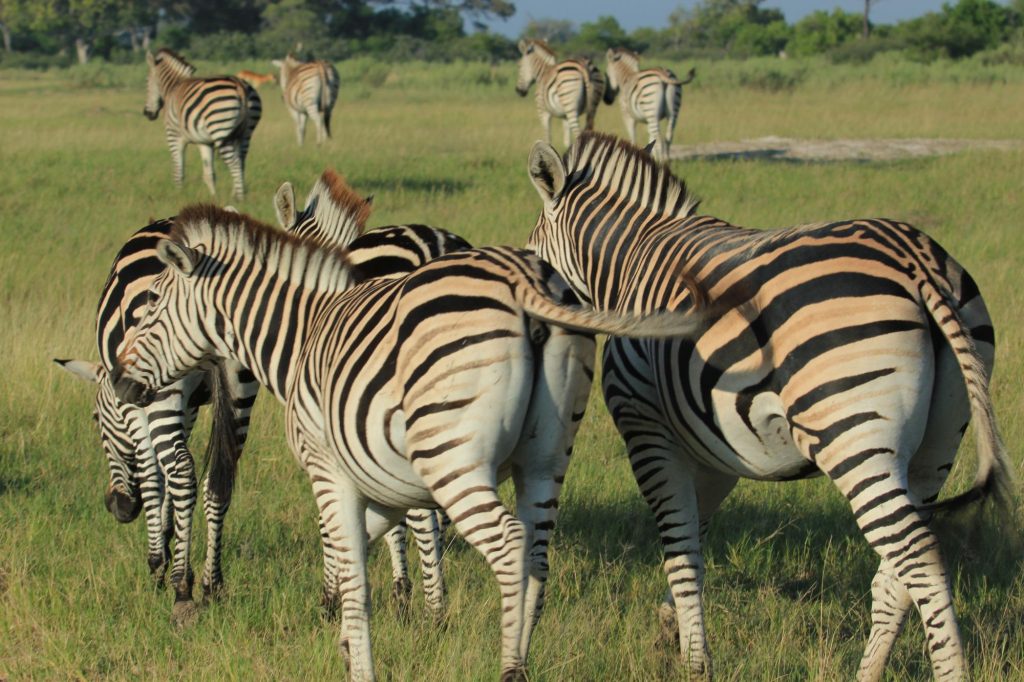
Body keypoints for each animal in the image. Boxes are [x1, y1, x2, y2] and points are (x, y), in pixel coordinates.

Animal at [55, 170, 470, 625]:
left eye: (96, 420)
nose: (118, 508)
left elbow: (153, 472)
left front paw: (158, 561)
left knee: (180, 469)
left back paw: (184, 587)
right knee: (219, 479)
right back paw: (214, 583)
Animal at [109, 200, 709, 681]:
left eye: (152, 305)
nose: (120, 383)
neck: (303, 332)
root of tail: (525, 280)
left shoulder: (330, 471)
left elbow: (355, 577)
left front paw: (357, 654)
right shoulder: (388, 483)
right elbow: (365, 549)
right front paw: (348, 638)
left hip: (453, 458)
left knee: (510, 547)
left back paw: (509, 668)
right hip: (546, 457)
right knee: (537, 556)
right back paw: (523, 655)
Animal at [144, 49, 262, 198]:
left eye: (147, 81)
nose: (147, 113)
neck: (173, 87)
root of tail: (239, 84)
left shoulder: (173, 136)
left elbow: (178, 171)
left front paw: (179, 194)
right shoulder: (205, 142)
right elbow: (209, 173)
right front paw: (214, 197)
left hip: (220, 130)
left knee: (235, 164)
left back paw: (240, 198)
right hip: (245, 133)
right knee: (241, 162)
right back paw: (234, 195)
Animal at [524, 132, 1013, 681]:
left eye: (533, 256)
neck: (630, 259)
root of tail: (915, 259)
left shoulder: (646, 429)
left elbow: (679, 548)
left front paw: (695, 661)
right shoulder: (713, 448)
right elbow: (694, 533)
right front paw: (673, 631)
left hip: (854, 437)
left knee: (918, 557)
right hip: (937, 446)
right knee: (896, 574)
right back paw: (867, 673)